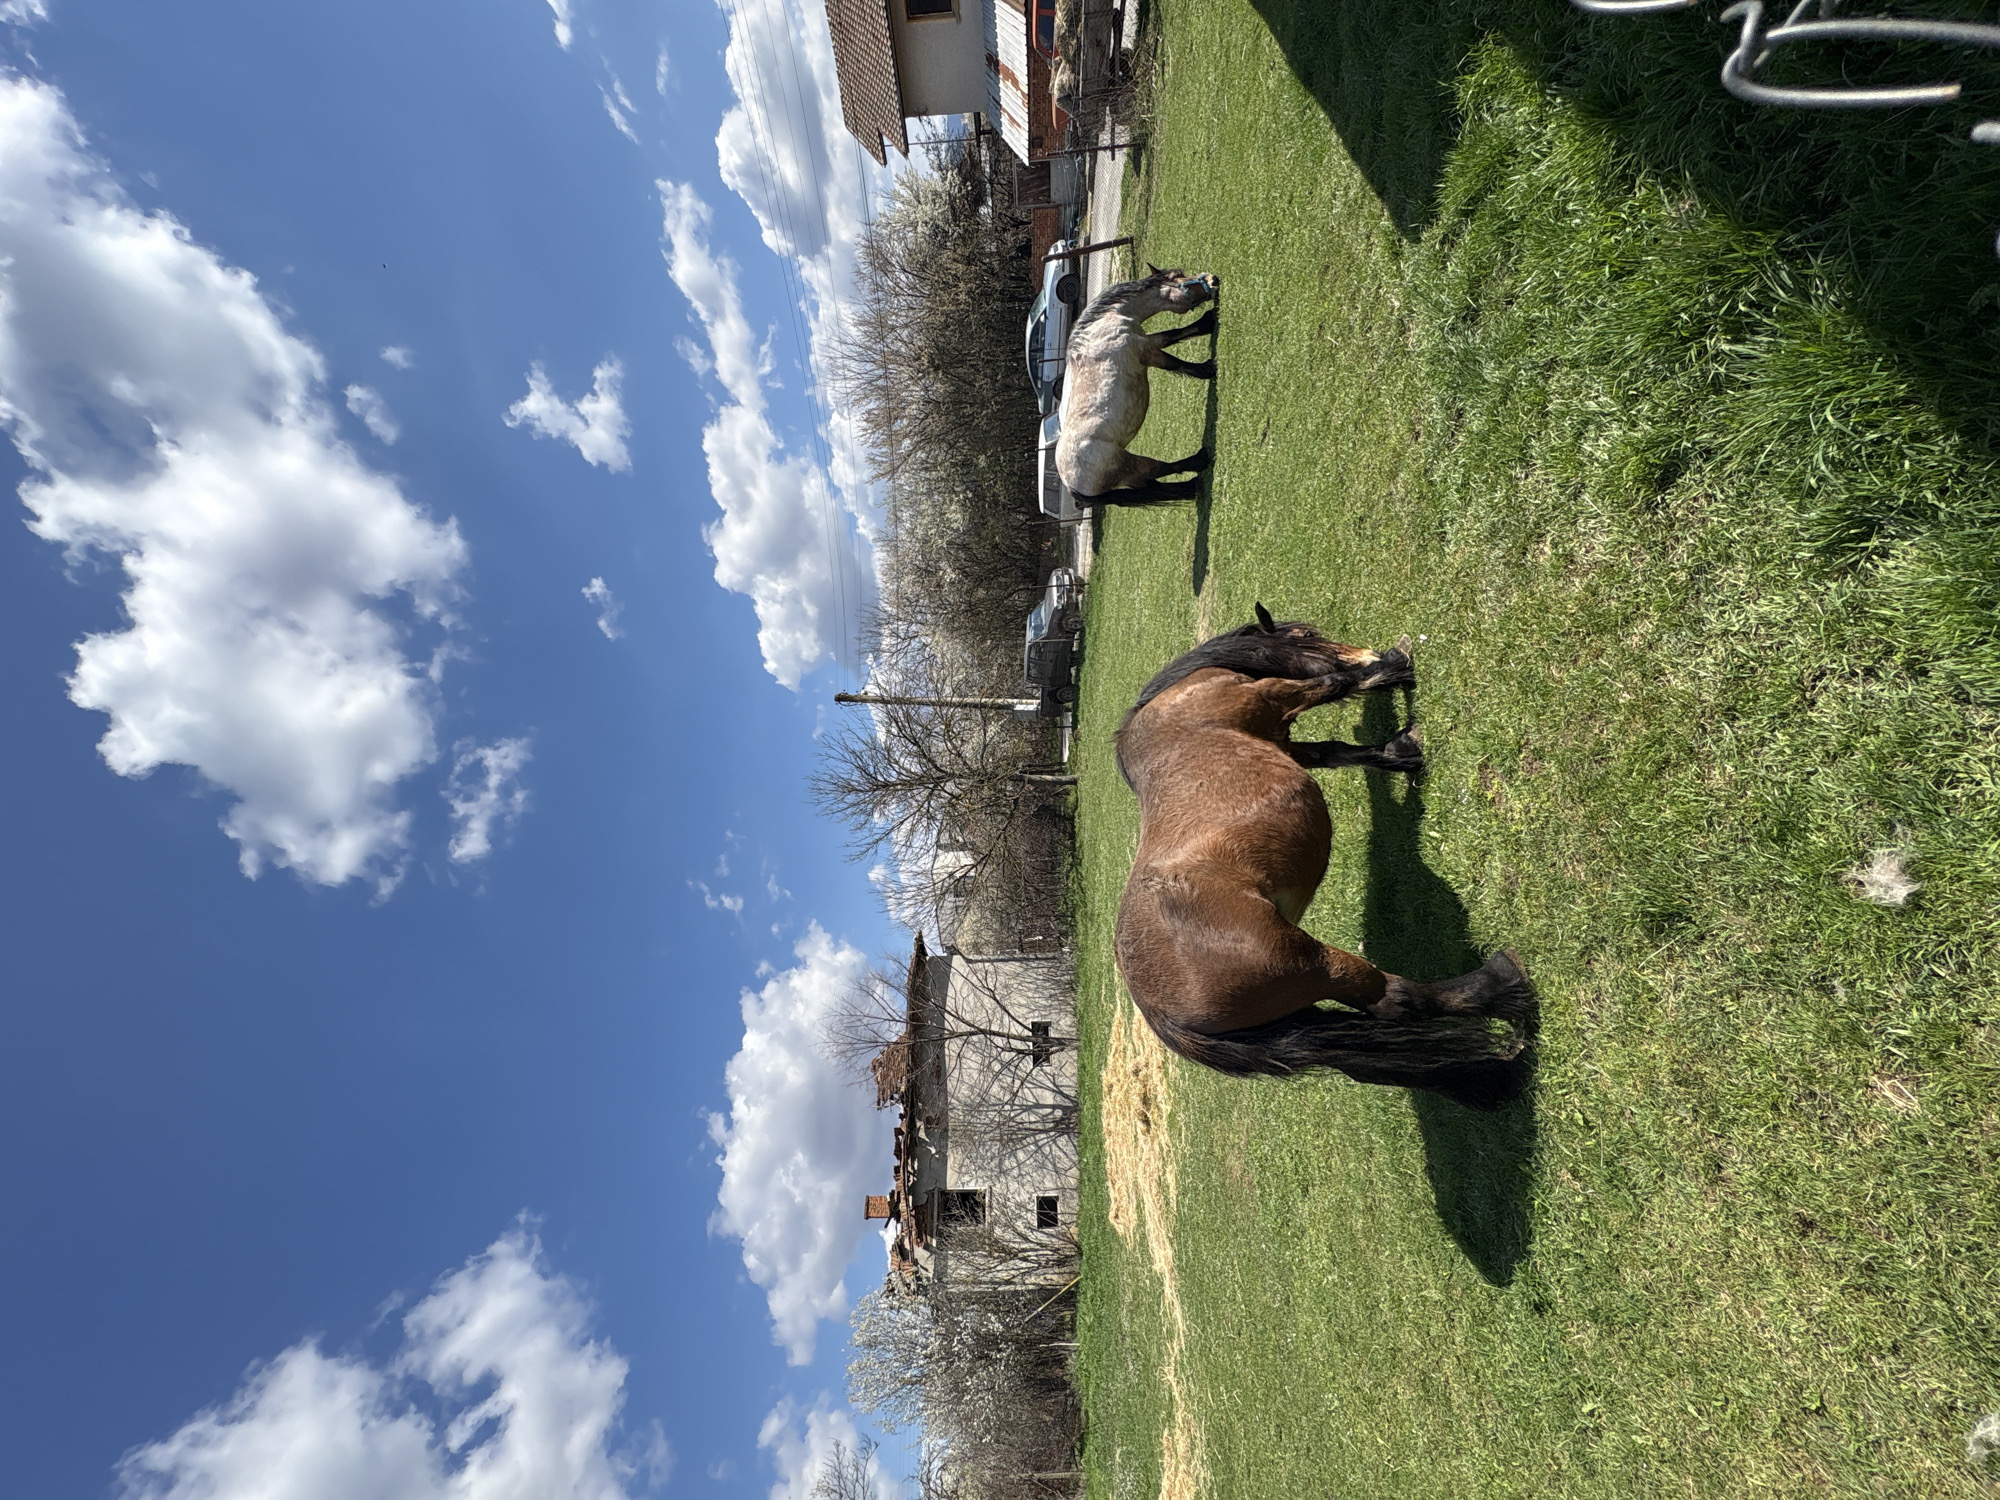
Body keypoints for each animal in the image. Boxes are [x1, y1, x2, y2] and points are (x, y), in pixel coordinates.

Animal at [1056, 265, 1219, 507]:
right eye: (1178, 277)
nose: (1212, 279)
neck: (1101, 326)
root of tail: (1071, 487)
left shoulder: (1146, 341)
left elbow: (1173, 335)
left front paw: (1207, 322)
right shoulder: (1146, 350)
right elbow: (1176, 360)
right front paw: (1209, 368)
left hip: (1133, 478)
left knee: (1160, 488)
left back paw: (1193, 485)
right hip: (1131, 465)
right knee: (1164, 468)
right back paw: (1200, 460)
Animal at [1113, 606, 1535, 1110]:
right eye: (1310, 637)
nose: (1368, 652)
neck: (1177, 702)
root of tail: (1161, 1012)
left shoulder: (1284, 740)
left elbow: (1336, 751)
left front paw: (1401, 751)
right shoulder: (1274, 694)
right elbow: (1335, 683)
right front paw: (1390, 669)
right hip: (1316, 965)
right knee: (1394, 1000)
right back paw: (1501, 986)